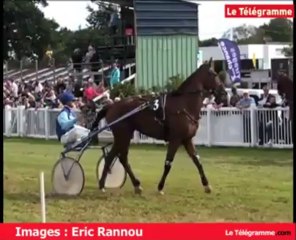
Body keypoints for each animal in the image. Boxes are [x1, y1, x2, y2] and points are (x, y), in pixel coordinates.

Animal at [91, 59, 219, 194]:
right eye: (215, 74)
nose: (222, 91)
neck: (183, 105)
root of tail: (112, 106)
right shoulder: (175, 139)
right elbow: (168, 163)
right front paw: (160, 187)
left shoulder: (187, 139)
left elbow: (197, 161)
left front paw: (207, 185)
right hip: (123, 136)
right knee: (113, 157)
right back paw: (103, 184)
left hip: (124, 136)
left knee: (119, 158)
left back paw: (134, 185)